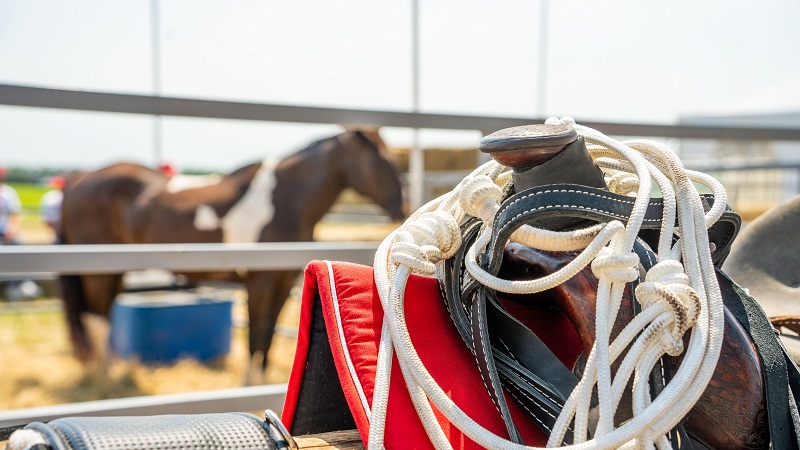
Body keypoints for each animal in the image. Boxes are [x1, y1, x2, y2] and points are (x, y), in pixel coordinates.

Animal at [60, 129, 406, 384]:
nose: (400, 207)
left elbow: (266, 338)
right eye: (379, 159)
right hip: (99, 272)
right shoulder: (258, 285)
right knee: (95, 318)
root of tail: (79, 179)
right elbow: (255, 337)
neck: (282, 201)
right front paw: (249, 385)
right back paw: (104, 378)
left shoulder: (282, 285)